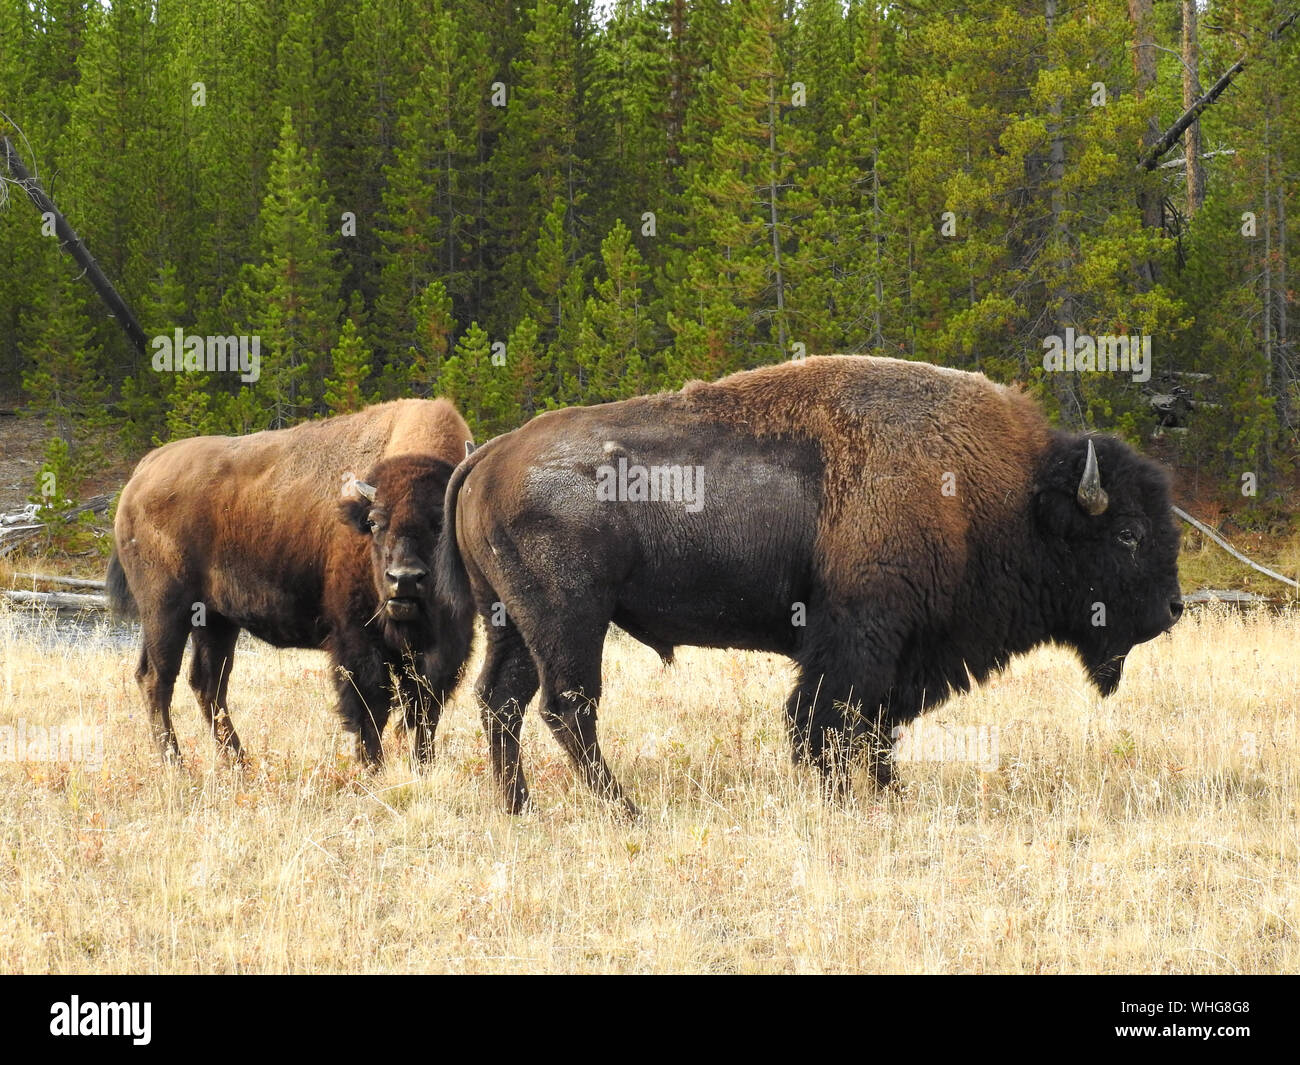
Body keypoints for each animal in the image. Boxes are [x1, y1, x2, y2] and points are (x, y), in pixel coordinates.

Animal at [106, 400, 473, 764]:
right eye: (374, 522)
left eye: (440, 521)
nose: (404, 580)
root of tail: (143, 471)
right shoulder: (357, 639)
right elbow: (370, 708)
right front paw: (372, 766)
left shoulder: (447, 644)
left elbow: (427, 710)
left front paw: (423, 764)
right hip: (165, 610)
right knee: (157, 678)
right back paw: (177, 764)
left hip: (214, 620)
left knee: (207, 683)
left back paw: (238, 763)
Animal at [439, 358, 1190, 816]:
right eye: (1127, 533)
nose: (1171, 609)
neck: (1005, 494)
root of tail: (491, 453)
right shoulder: (859, 636)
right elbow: (827, 720)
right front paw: (840, 799)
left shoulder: (903, 652)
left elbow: (878, 726)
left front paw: (890, 796)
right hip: (569, 619)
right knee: (568, 707)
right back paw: (626, 810)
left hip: (510, 623)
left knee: (501, 702)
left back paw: (520, 806)